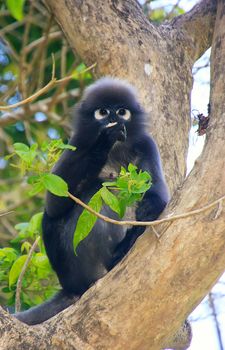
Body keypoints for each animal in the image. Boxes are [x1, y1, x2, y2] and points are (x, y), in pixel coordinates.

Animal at [14, 77, 169, 326]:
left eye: (122, 111)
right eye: (103, 112)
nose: (114, 119)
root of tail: (71, 287)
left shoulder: (147, 144)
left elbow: (159, 191)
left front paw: (148, 209)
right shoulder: (77, 143)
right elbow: (54, 203)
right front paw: (103, 141)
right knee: (88, 193)